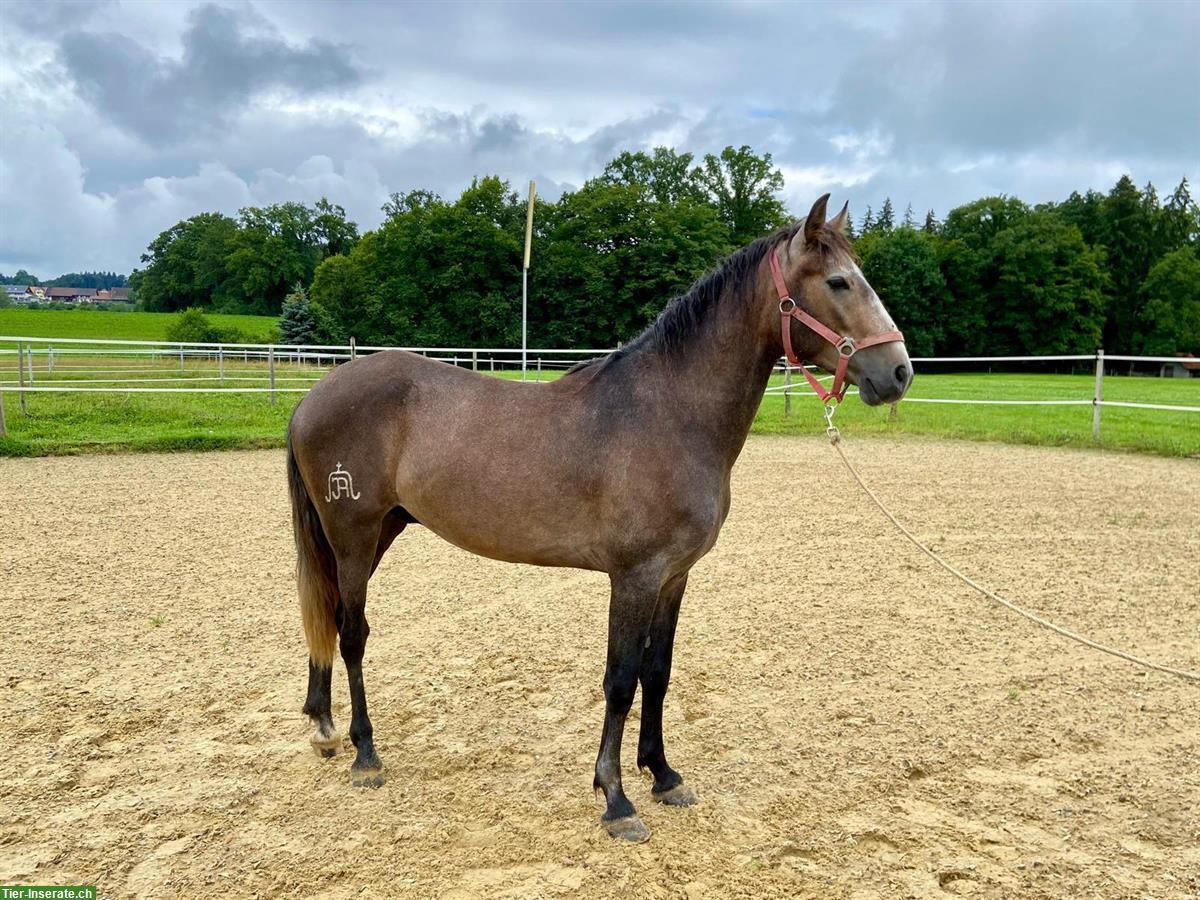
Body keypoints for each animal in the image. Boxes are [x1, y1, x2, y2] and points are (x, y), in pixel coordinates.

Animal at [288, 192, 907, 844]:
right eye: (838, 281)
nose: (898, 372)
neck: (670, 413)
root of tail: (313, 396)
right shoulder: (633, 576)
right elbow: (620, 680)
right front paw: (616, 798)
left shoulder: (673, 576)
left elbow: (657, 673)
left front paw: (662, 774)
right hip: (354, 535)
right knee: (352, 633)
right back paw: (364, 754)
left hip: (376, 532)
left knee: (329, 613)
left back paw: (324, 727)